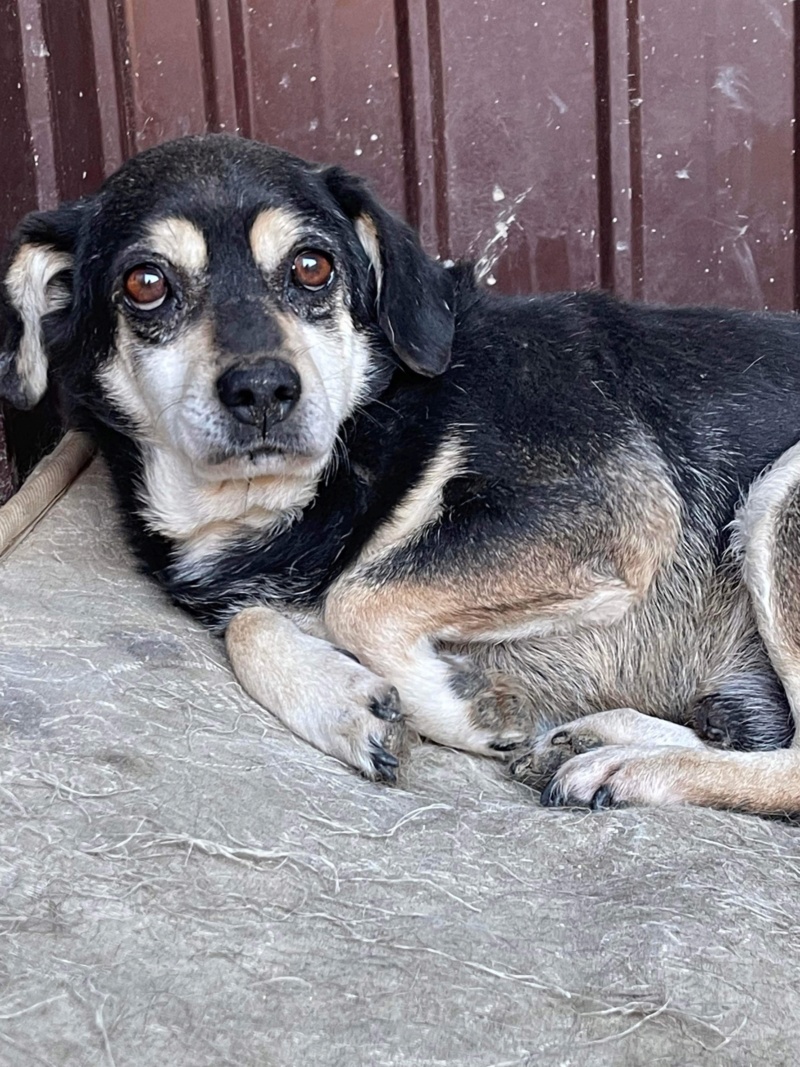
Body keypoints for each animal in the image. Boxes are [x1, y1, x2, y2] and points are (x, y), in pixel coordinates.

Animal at [4, 135, 800, 815]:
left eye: (313, 267)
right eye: (146, 283)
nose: (263, 389)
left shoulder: (610, 506)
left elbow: (356, 595)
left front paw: (464, 709)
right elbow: (254, 621)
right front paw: (345, 704)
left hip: (778, 494)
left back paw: (629, 764)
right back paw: (602, 735)